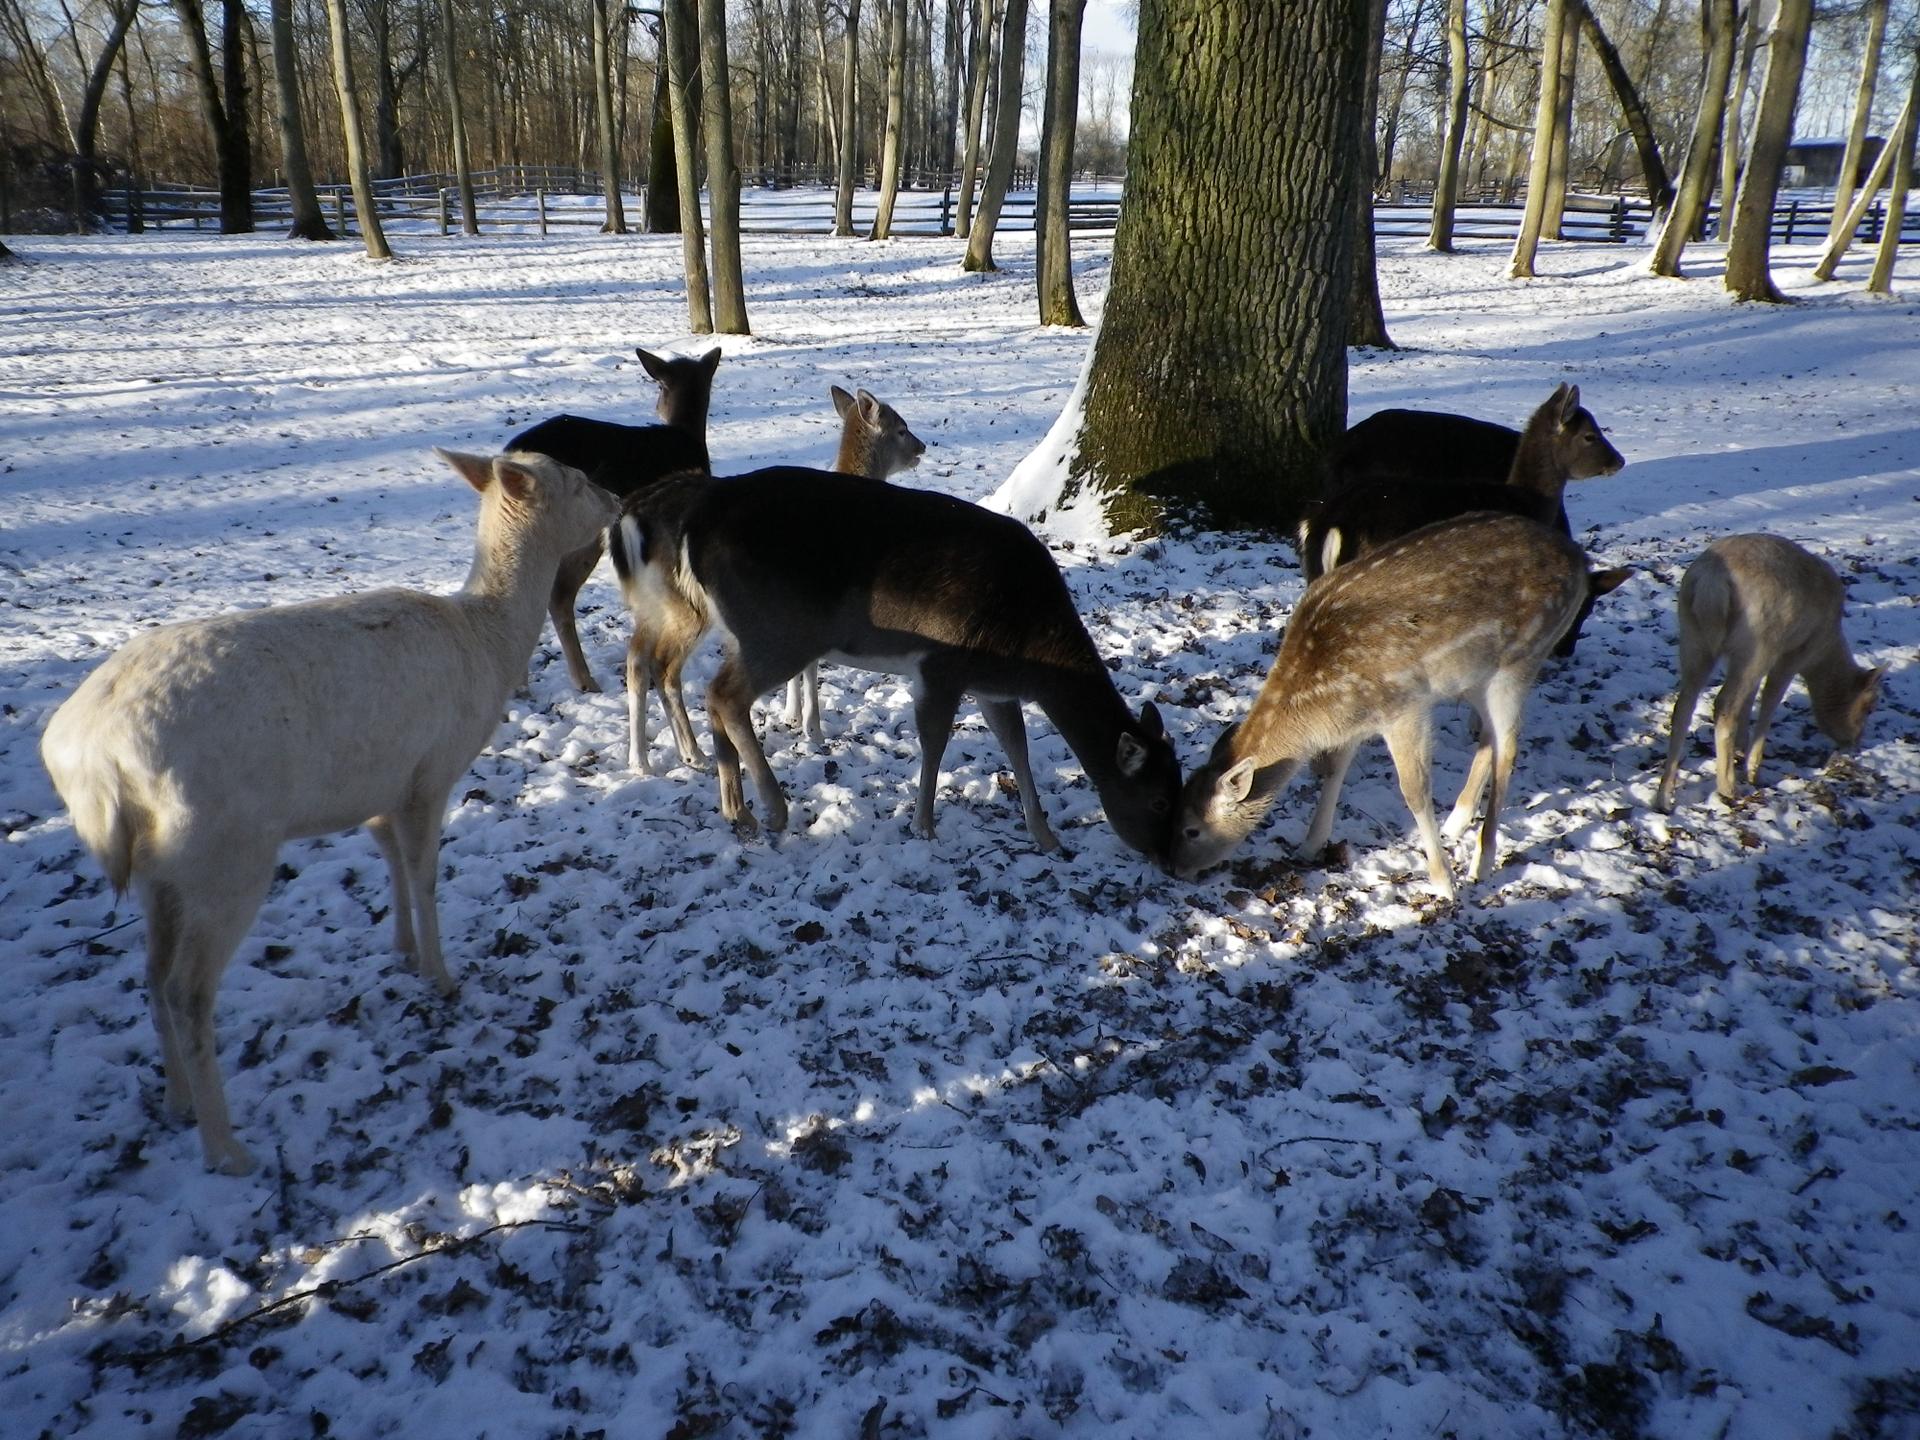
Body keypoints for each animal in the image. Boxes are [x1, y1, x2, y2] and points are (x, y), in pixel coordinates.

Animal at [39, 451, 614, 1175]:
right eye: (576, 479)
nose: (618, 501)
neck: (486, 647)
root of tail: (91, 759)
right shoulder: (430, 770)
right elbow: (425, 873)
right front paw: (443, 976)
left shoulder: (380, 786)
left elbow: (393, 863)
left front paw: (402, 951)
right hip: (225, 850)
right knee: (187, 990)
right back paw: (227, 1148)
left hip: (161, 870)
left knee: (151, 971)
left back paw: (176, 1100)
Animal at [610, 468, 1182, 864]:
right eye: (1158, 801)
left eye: (1179, 785)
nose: (1174, 862)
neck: (1031, 652)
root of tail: (694, 520)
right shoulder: (942, 664)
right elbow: (935, 741)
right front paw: (923, 826)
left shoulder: (990, 685)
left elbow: (1015, 746)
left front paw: (1046, 837)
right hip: (778, 630)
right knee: (725, 694)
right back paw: (773, 809)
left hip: (737, 629)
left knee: (712, 691)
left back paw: (738, 810)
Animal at [1658, 537, 1881, 817]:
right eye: (1870, 707)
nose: (1855, 741)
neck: (1825, 649)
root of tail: (1711, 580)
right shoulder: (1793, 653)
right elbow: (1770, 698)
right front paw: (1753, 769)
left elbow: (1750, 698)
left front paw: (1741, 747)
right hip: (1759, 641)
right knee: (1724, 705)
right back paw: (1729, 787)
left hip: (1693, 637)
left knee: (1684, 705)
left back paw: (1664, 797)